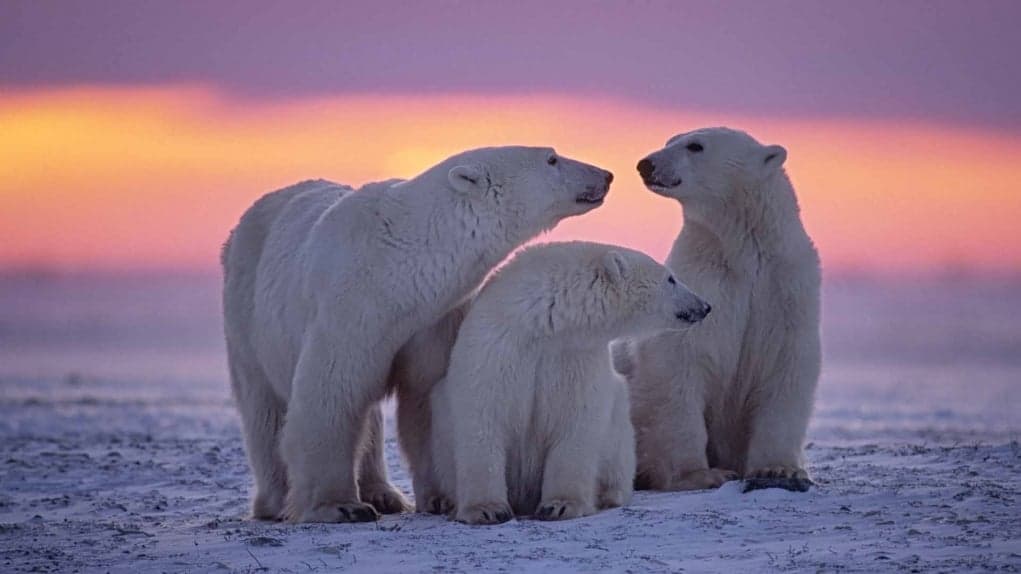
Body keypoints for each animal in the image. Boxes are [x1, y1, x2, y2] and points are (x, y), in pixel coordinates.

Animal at [221, 147, 613, 523]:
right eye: (552, 158)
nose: (606, 174)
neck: (398, 266)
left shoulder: (433, 319)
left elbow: (426, 396)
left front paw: (441, 497)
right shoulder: (348, 309)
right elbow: (331, 394)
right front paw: (340, 506)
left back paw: (384, 494)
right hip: (246, 313)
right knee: (264, 408)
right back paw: (276, 501)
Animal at [427, 241, 711, 524]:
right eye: (671, 278)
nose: (705, 306)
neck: (544, 323)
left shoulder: (575, 356)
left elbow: (575, 422)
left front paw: (561, 506)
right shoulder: (497, 345)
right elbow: (483, 417)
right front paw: (486, 509)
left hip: (619, 424)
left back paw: (609, 494)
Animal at [623, 126, 821, 492]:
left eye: (695, 145)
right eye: (670, 139)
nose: (646, 164)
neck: (742, 252)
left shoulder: (786, 290)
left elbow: (786, 367)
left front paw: (779, 470)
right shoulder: (704, 283)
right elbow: (680, 364)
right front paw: (701, 474)